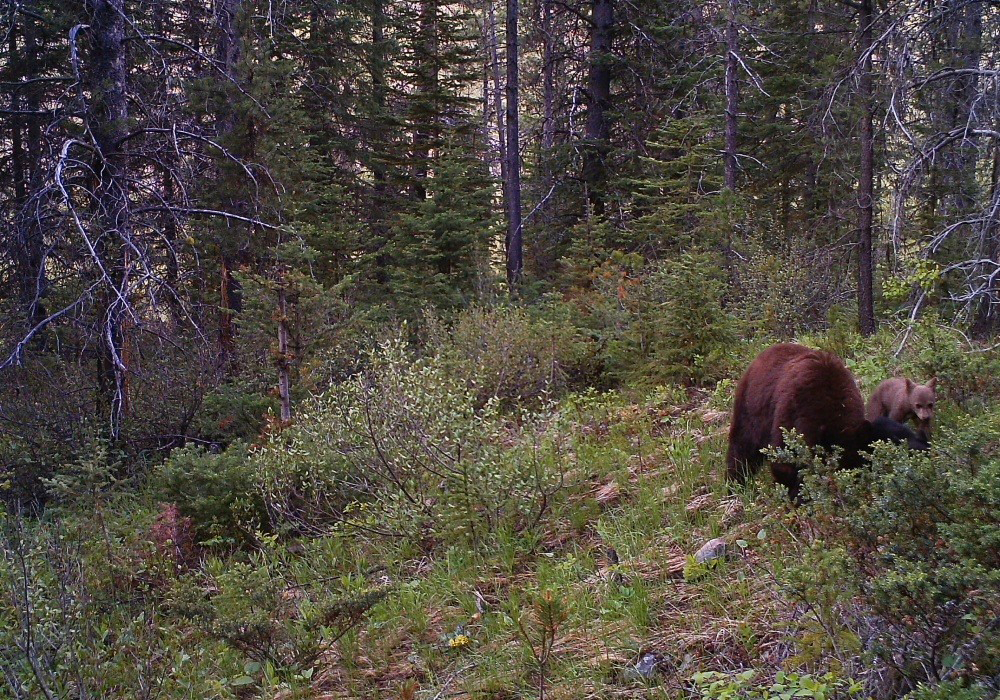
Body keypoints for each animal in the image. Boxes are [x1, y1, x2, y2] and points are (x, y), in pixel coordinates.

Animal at [726, 343, 928, 501]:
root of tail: (763, 353)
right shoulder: (792, 415)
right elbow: (785, 462)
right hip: (752, 407)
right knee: (742, 446)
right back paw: (735, 484)